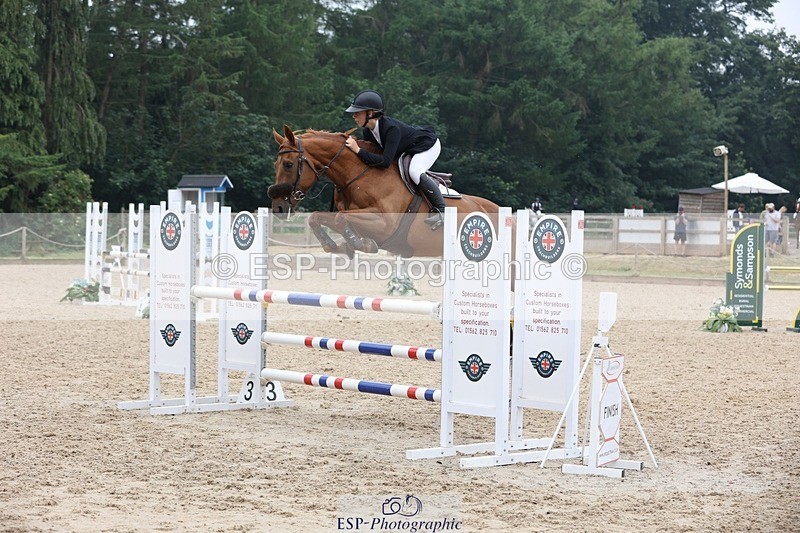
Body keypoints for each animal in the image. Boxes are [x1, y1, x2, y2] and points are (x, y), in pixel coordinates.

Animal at [268, 125, 505, 258]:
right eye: (275, 165)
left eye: (288, 164)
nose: (278, 207)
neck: (359, 174)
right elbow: (319, 217)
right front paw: (336, 246)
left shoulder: (384, 223)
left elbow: (340, 218)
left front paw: (359, 244)